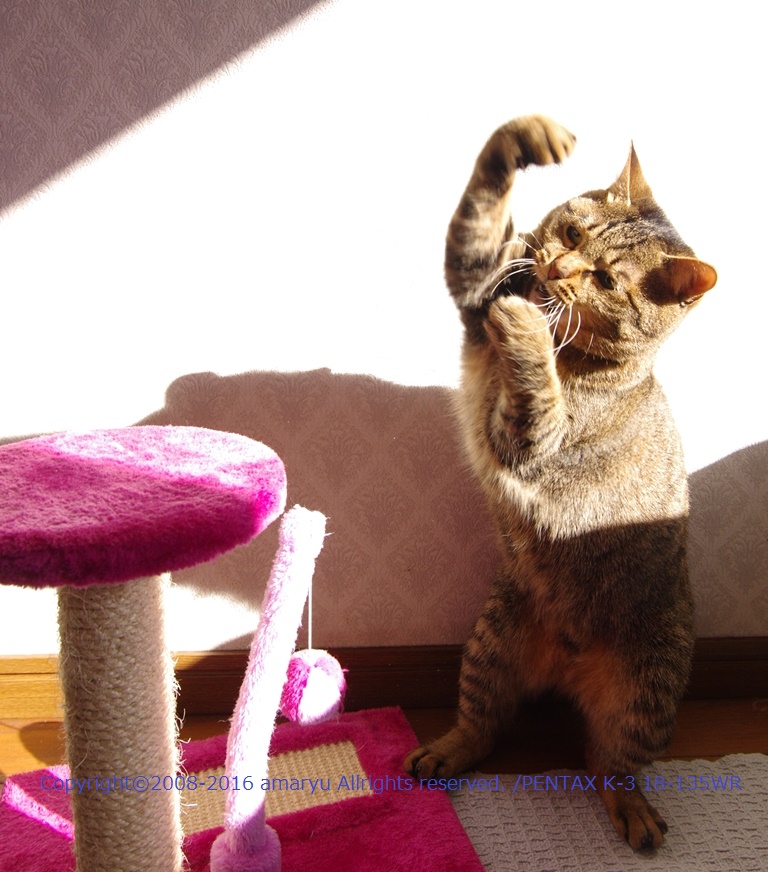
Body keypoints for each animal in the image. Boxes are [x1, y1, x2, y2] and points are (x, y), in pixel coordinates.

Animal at [404, 115, 717, 850]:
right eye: (573, 234)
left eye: (606, 279)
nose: (557, 268)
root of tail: (567, 665)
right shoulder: (476, 286)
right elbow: (481, 215)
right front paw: (527, 135)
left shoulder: (529, 439)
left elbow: (535, 382)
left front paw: (530, 334)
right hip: (489, 644)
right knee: (483, 725)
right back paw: (444, 751)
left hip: (649, 689)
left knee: (611, 763)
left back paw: (635, 813)